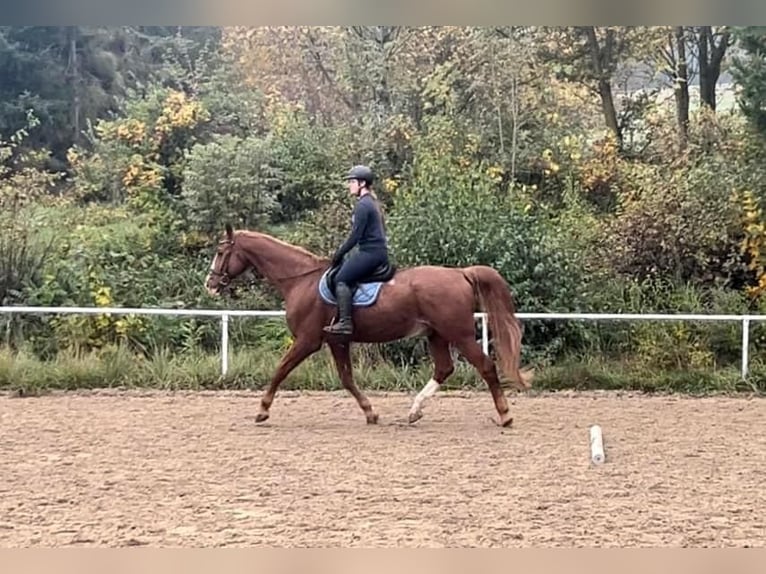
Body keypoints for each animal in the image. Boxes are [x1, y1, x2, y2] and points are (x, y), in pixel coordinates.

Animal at [204, 224, 536, 428]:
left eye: (220, 252)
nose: (210, 284)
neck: (301, 280)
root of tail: (461, 273)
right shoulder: (337, 341)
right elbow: (347, 379)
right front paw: (371, 412)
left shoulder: (308, 340)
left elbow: (280, 369)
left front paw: (262, 410)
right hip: (436, 335)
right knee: (444, 369)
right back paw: (414, 412)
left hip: (460, 334)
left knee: (485, 366)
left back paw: (505, 415)